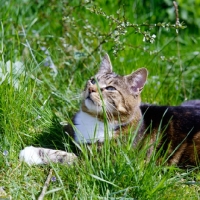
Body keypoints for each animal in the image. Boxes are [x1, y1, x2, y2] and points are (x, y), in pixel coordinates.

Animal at [19, 53, 200, 167]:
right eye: (92, 80)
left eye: (111, 88)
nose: (91, 89)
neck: (95, 119)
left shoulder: (100, 162)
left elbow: (66, 156)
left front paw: (32, 152)